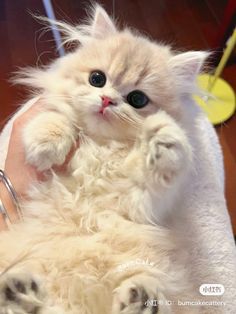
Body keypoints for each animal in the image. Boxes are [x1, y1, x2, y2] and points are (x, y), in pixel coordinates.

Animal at [0, 4, 207, 314]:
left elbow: (162, 166)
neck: (102, 147)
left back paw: (141, 299)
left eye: (137, 99)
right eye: (97, 79)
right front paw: (46, 143)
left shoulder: (146, 200)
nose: (107, 100)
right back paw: (19, 291)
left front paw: (164, 139)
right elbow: (58, 116)